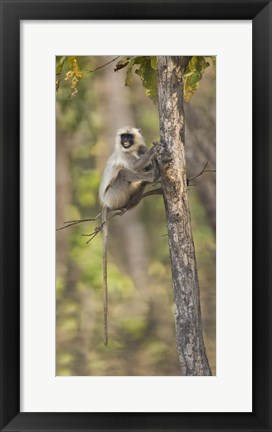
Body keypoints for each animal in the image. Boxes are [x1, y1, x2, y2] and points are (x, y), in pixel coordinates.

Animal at [99, 125, 159, 344]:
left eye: (129, 136)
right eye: (122, 136)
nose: (125, 141)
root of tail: (106, 203)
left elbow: (141, 156)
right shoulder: (124, 155)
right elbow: (132, 166)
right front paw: (156, 149)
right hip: (114, 194)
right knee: (126, 172)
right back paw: (153, 176)